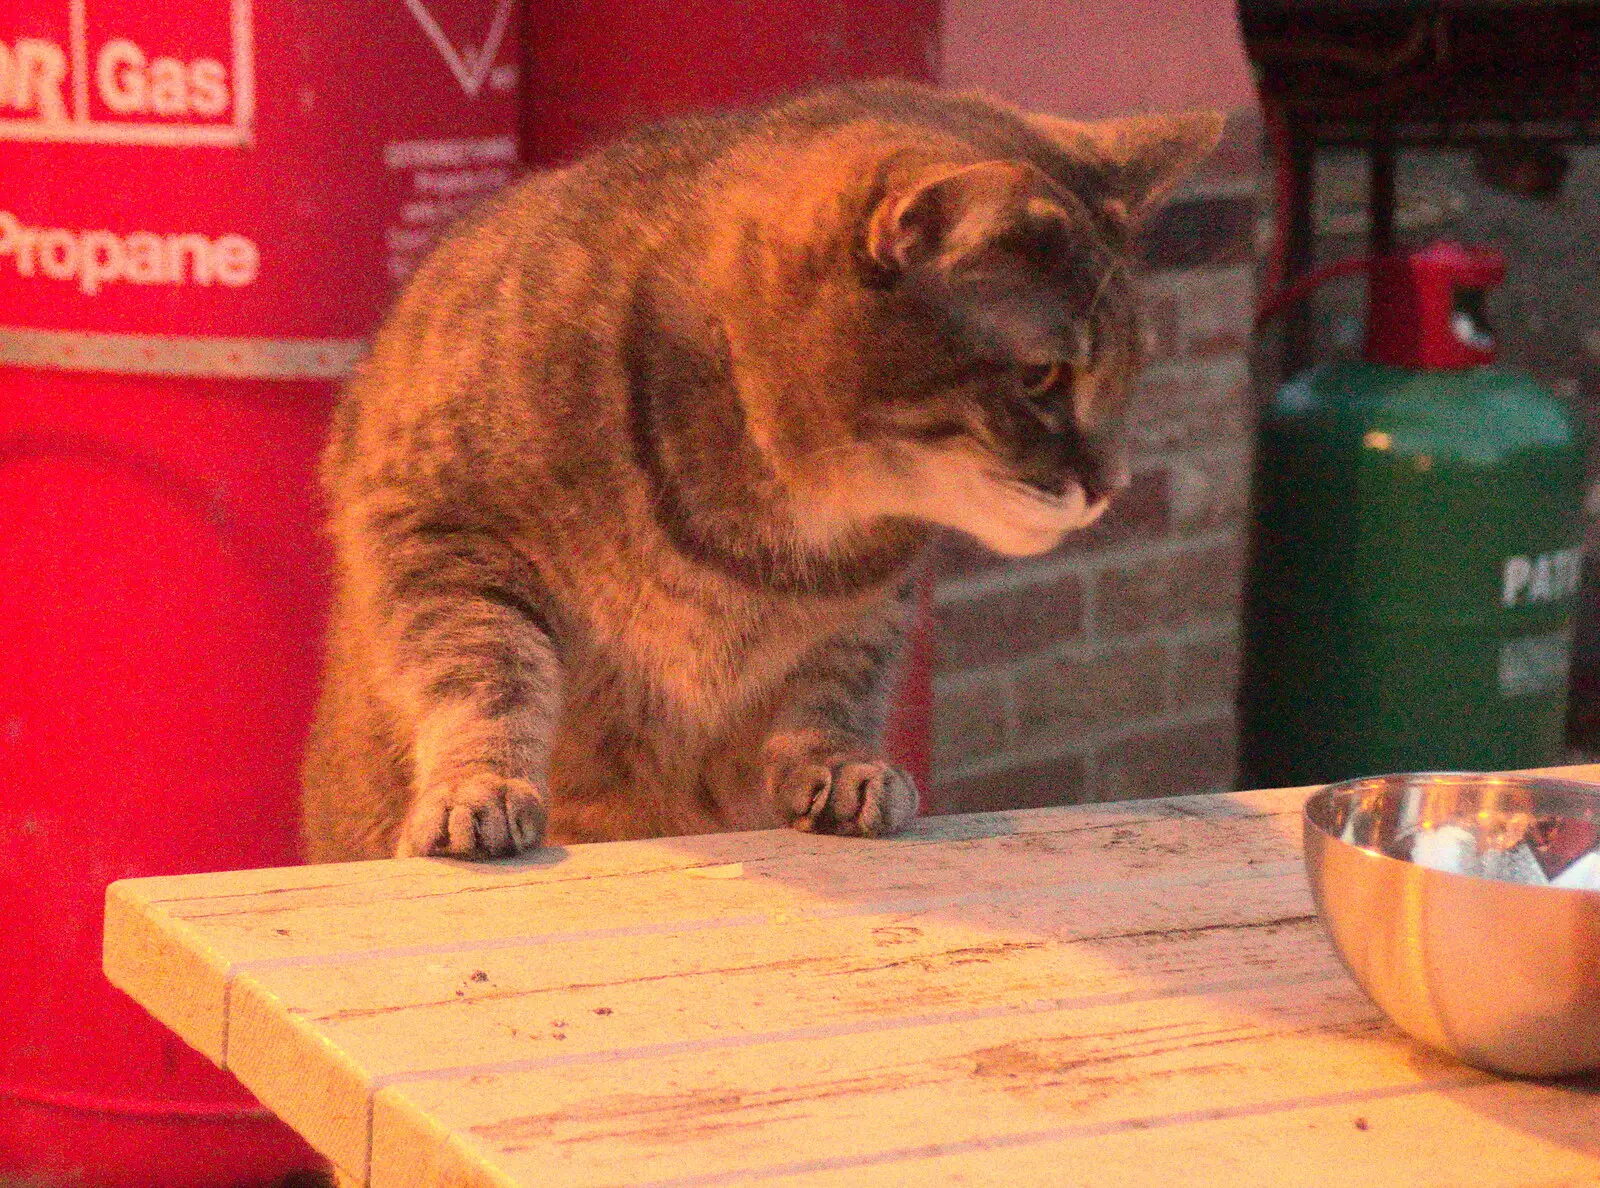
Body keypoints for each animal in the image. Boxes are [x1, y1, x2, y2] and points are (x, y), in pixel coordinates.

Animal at [302, 83, 1222, 864]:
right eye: (1041, 379)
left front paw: (843, 765)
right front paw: (482, 785)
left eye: (1133, 372)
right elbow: (487, 670)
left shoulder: (869, 605)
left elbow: (832, 688)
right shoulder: (438, 528)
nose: (1111, 483)